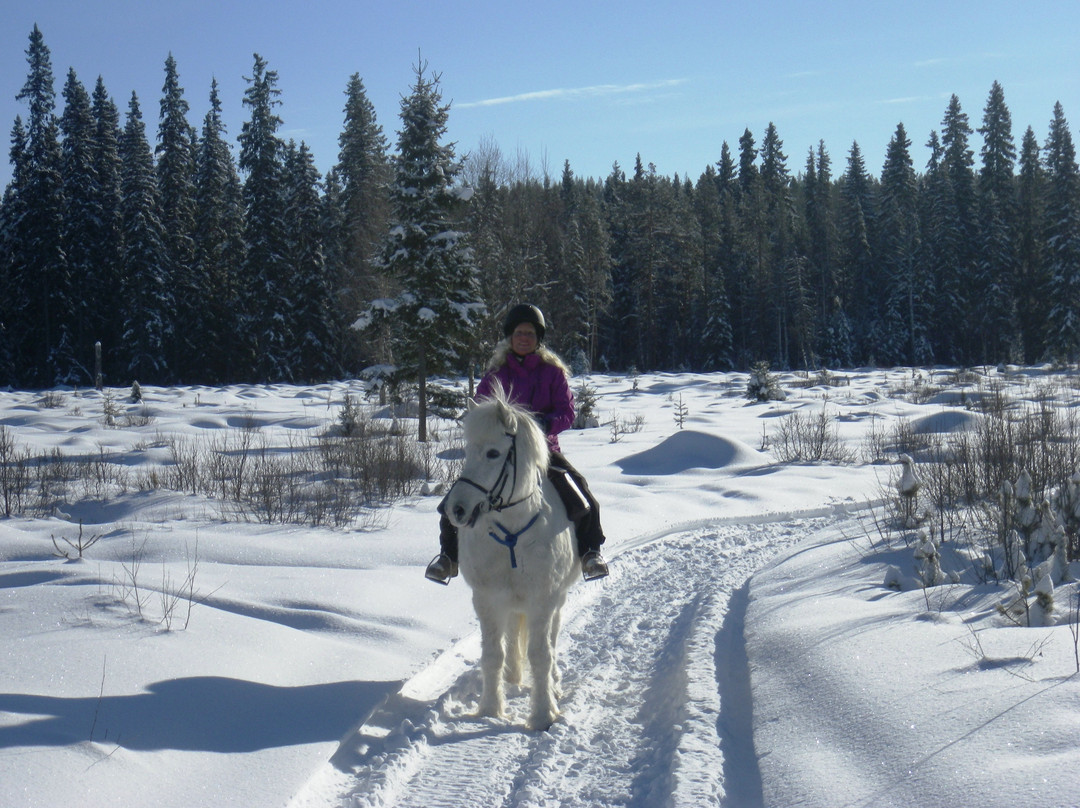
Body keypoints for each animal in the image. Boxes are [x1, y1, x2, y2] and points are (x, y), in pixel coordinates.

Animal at [440, 388, 583, 730]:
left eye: (494, 453)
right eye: (468, 450)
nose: (456, 510)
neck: (512, 533)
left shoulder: (543, 599)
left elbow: (541, 655)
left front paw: (543, 714)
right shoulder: (487, 599)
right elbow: (493, 654)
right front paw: (491, 708)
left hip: (556, 599)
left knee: (552, 638)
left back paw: (553, 682)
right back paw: (512, 678)